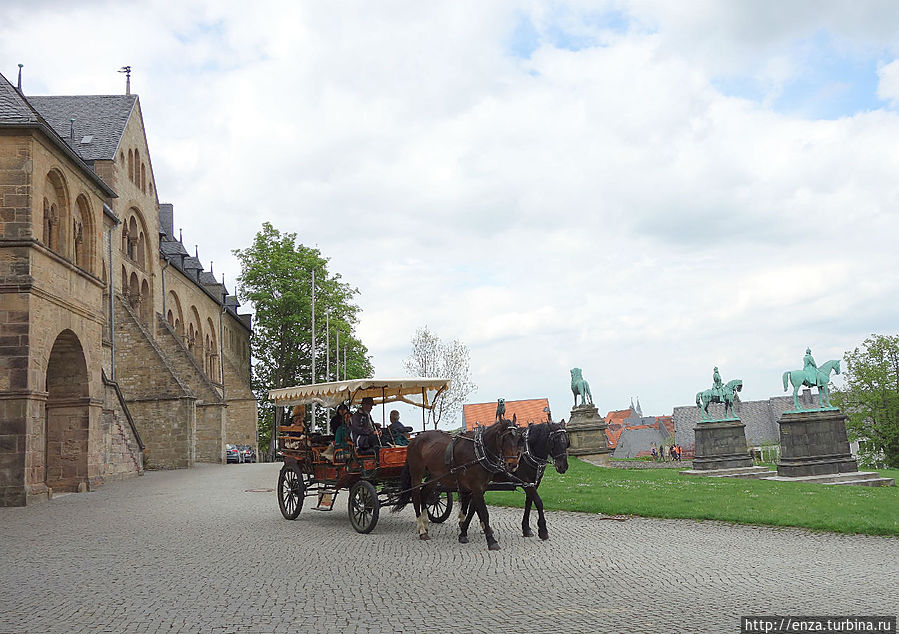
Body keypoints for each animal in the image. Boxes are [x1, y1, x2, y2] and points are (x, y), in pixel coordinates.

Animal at [392, 414, 520, 548]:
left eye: (518, 438)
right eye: (504, 438)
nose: (513, 464)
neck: (478, 451)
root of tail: (414, 440)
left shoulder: (480, 487)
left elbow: (470, 510)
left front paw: (464, 532)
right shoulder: (476, 486)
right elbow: (483, 511)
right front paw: (491, 541)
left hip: (433, 476)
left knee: (424, 494)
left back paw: (425, 524)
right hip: (416, 473)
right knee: (416, 496)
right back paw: (421, 530)